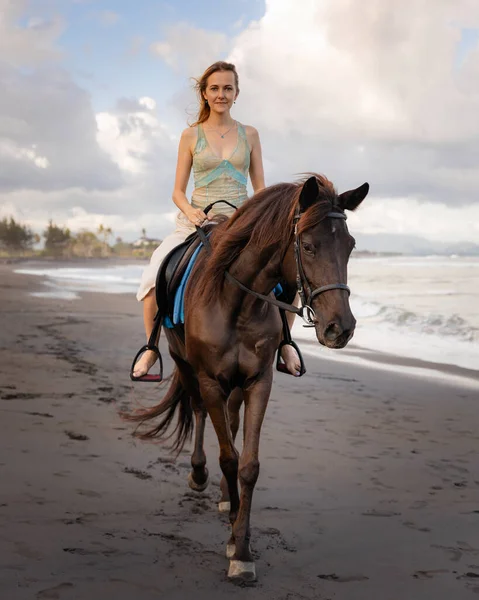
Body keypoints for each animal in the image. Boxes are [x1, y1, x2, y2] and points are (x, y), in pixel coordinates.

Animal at [125, 173, 370, 580]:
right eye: (307, 246)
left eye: (350, 246)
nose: (341, 329)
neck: (236, 300)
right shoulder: (209, 379)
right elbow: (227, 455)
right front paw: (234, 534)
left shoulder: (258, 382)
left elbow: (248, 463)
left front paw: (241, 544)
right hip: (185, 365)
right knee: (199, 412)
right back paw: (199, 474)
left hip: (235, 385)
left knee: (231, 421)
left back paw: (227, 497)